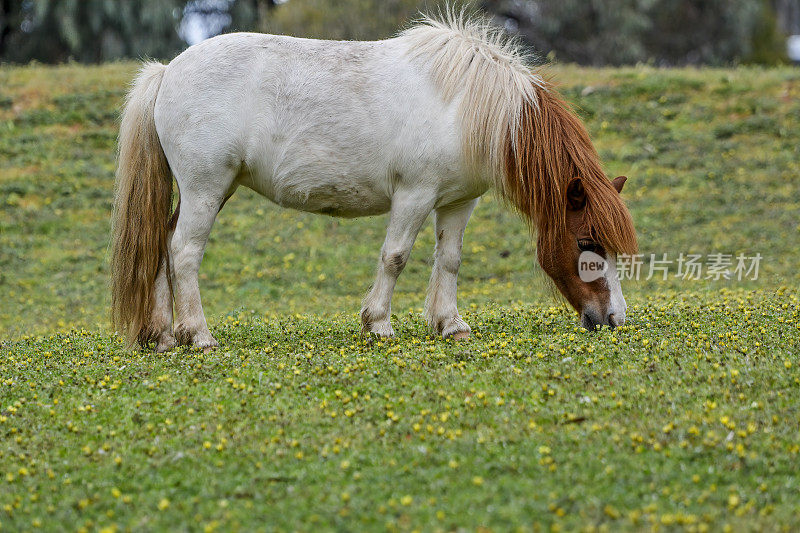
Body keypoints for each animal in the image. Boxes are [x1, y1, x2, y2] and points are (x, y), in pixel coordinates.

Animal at [111, 14, 636, 352]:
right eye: (587, 243)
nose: (614, 319)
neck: (465, 105)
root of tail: (168, 71)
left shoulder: (458, 202)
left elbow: (449, 260)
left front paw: (450, 325)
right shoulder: (414, 195)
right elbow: (396, 256)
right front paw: (378, 324)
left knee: (162, 245)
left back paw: (163, 336)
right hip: (206, 189)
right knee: (183, 252)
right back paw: (197, 335)